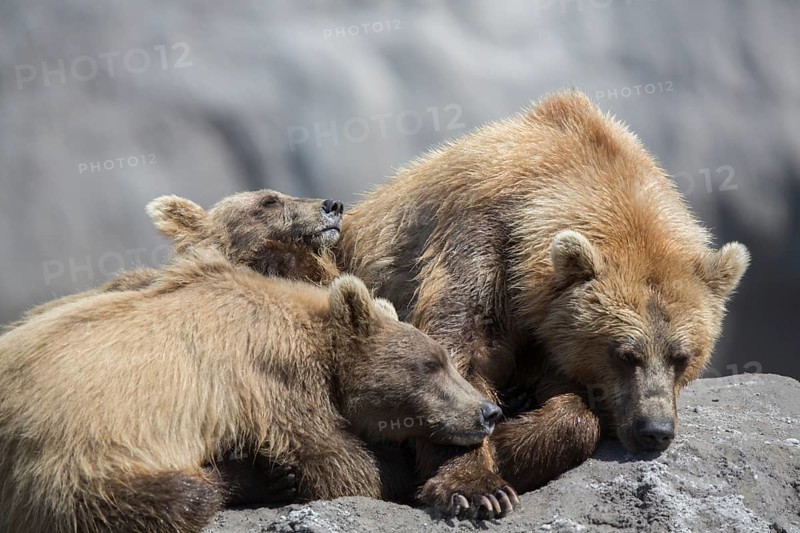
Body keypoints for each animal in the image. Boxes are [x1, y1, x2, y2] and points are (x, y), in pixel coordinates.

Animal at [0, 249, 502, 533]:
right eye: (431, 365)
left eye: (446, 360)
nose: (488, 411)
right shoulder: (272, 383)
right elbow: (340, 463)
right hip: (74, 459)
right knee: (179, 496)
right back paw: (256, 476)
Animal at [336, 90, 750, 517]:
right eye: (624, 353)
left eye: (682, 356)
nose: (655, 430)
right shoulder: (480, 241)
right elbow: (462, 348)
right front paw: (478, 485)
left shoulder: (551, 332)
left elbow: (572, 406)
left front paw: (513, 439)